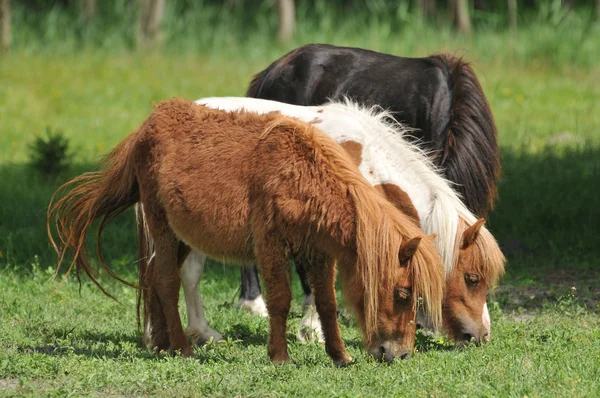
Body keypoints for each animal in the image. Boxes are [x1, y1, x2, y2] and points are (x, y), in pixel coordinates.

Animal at [48, 98, 446, 364]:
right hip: (161, 225)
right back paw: (184, 347)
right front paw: (280, 356)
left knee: (153, 277)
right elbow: (280, 300)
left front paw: (340, 356)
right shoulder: (270, 245)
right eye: (402, 293)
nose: (401, 354)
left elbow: (327, 303)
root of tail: (151, 123)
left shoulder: (318, 253)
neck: (304, 177)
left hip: (181, 235)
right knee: (166, 281)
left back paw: (162, 342)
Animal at [171, 97, 504, 348]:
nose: (482, 335)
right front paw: (314, 332)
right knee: (190, 273)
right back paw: (202, 332)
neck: (362, 160)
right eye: (473, 278)